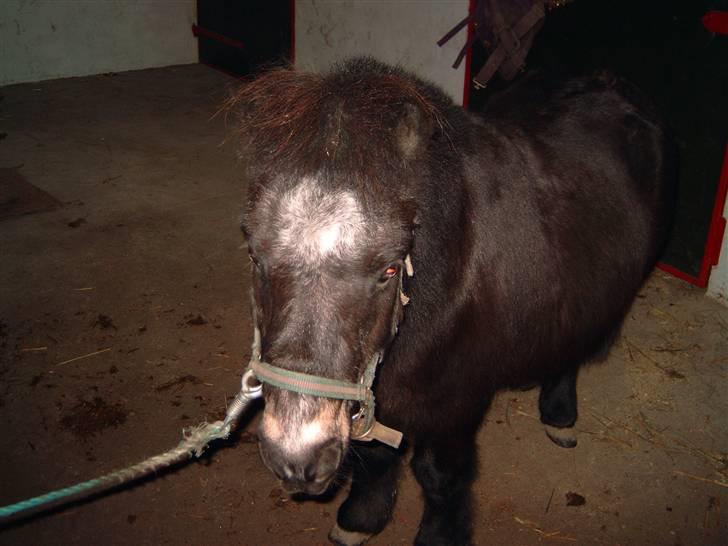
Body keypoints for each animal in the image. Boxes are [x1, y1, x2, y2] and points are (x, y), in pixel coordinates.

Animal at [229, 57, 676, 540]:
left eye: (389, 269)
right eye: (255, 254)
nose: (297, 460)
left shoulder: (455, 406)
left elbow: (439, 476)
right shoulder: (385, 392)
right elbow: (378, 455)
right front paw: (361, 518)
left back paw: (559, 415)